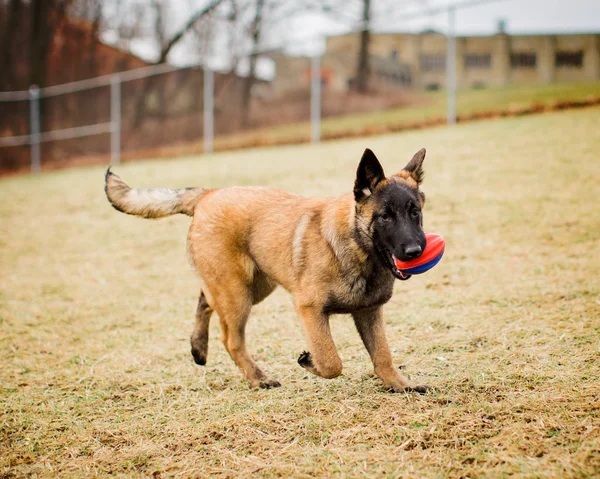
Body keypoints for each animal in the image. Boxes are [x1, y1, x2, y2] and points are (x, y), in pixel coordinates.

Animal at [104, 149, 432, 394]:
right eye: (385, 217)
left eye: (415, 212)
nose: (415, 251)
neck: (356, 247)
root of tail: (209, 194)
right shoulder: (309, 309)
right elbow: (331, 361)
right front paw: (310, 362)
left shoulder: (369, 312)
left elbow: (383, 355)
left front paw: (400, 384)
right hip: (238, 294)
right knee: (231, 339)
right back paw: (258, 378)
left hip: (255, 287)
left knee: (205, 299)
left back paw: (199, 348)